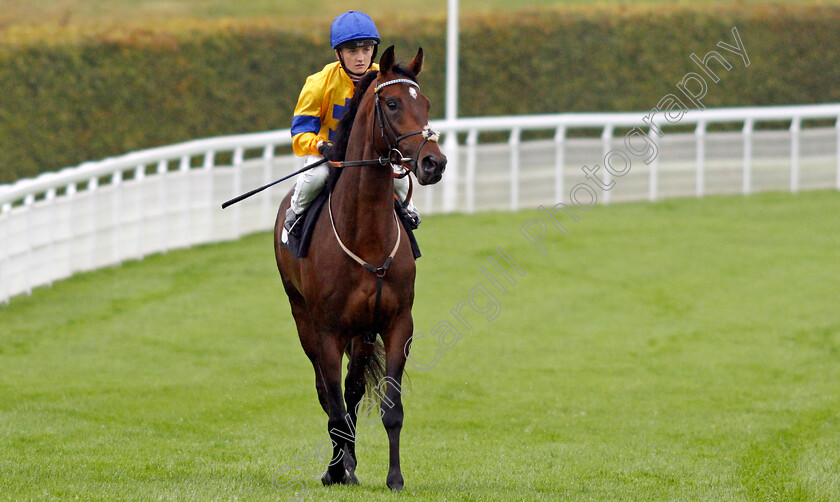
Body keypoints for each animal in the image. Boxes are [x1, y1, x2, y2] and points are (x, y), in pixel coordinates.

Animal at [274, 45, 446, 492]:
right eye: (393, 103)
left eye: (425, 103)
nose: (433, 163)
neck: (365, 234)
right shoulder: (327, 331)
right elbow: (332, 403)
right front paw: (334, 470)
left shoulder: (397, 323)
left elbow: (390, 407)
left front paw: (394, 477)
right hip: (303, 319)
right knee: (326, 391)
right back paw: (341, 464)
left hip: (363, 332)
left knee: (351, 388)